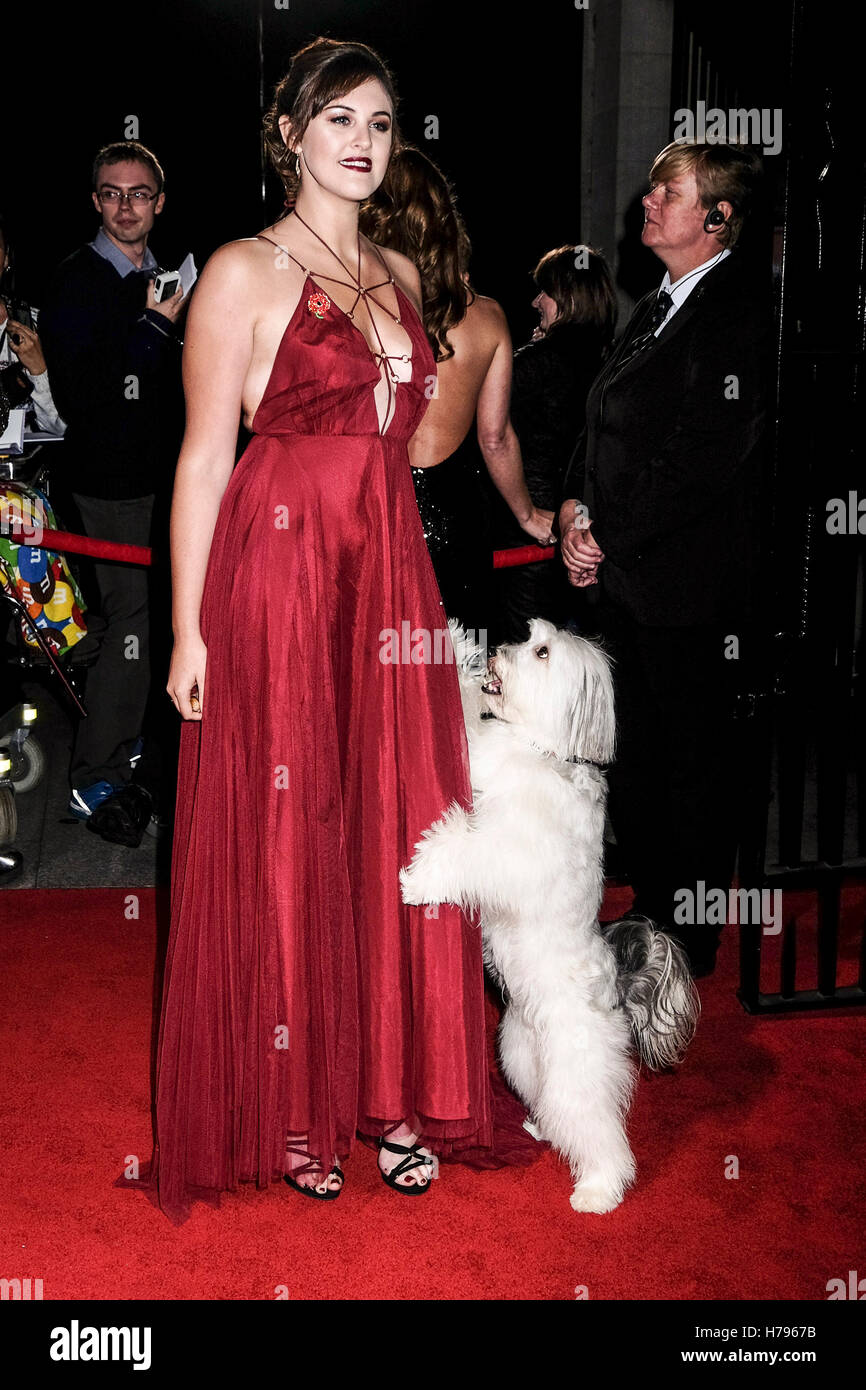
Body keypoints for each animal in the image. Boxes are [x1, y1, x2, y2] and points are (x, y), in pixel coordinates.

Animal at [400, 614, 697, 1212]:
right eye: (528, 636)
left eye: (541, 652)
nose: (499, 649)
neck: (542, 750)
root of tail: (617, 989)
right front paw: (459, 649)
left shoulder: (504, 851)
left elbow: (458, 852)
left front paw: (418, 881)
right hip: (518, 1052)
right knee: (553, 1108)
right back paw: (540, 1128)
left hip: (574, 1073)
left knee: (602, 1134)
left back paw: (598, 1190)